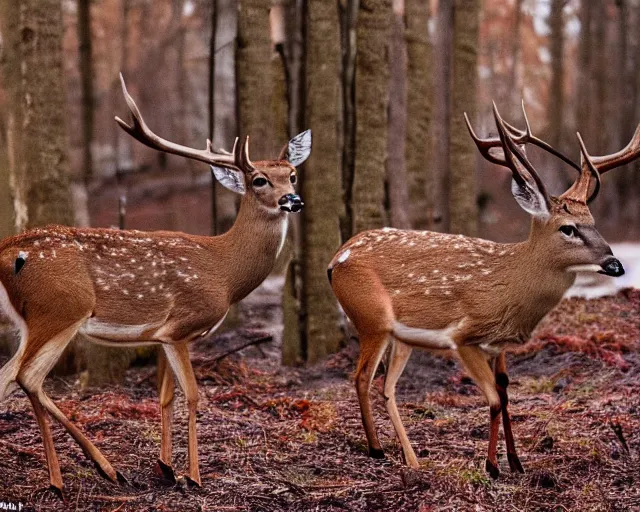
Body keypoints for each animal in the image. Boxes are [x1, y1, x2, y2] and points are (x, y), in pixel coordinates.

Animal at [0, 74, 312, 494]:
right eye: (259, 180)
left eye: (291, 174)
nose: (293, 200)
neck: (224, 271)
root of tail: (9, 251)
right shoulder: (182, 324)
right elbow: (193, 395)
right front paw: (193, 475)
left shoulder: (162, 334)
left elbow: (165, 397)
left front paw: (165, 466)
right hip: (61, 309)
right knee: (28, 377)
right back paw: (92, 472)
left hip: (30, 319)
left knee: (6, 377)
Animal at [328, 102, 636, 478]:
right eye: (568, 229)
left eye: (593, 222)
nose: (616, 264)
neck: (511, 292)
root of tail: (337, 258)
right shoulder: (465, 336)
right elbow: (491, 400)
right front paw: (491, 466)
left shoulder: (497, 345)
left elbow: (504, 394)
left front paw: (516, 462)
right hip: (371, 319)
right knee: (361, 377)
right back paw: (376, 450)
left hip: (400, 336)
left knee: (387, 387)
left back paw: (413, 460)